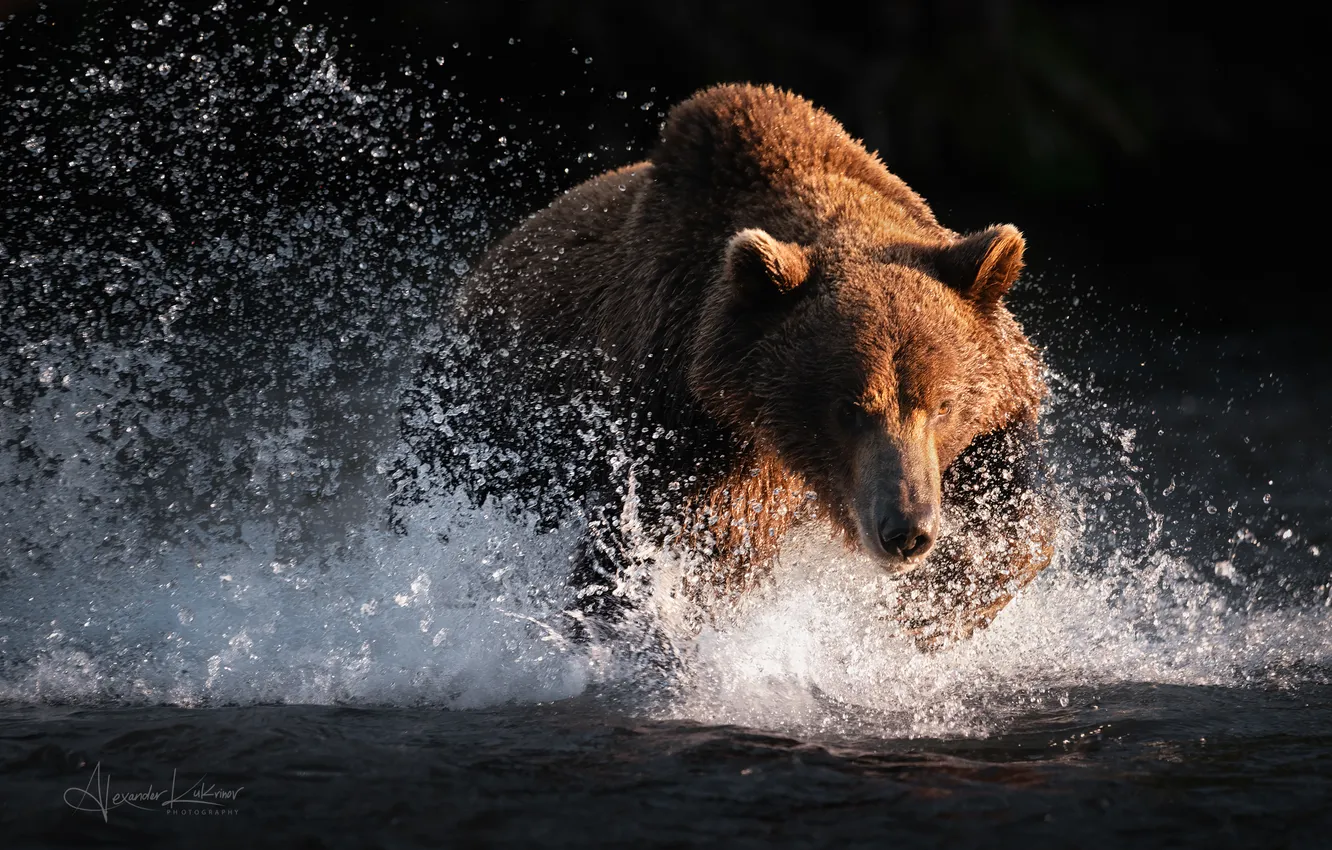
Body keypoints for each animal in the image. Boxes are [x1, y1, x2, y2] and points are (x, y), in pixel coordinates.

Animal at [398, 83, 1056, 650]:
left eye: (942, 404)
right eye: (848, 409)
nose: (907, 530)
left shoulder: (993, 424)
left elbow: (1013, 525)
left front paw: (930, 609)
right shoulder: (693, 432)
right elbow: (672, 558)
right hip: (476, 428)